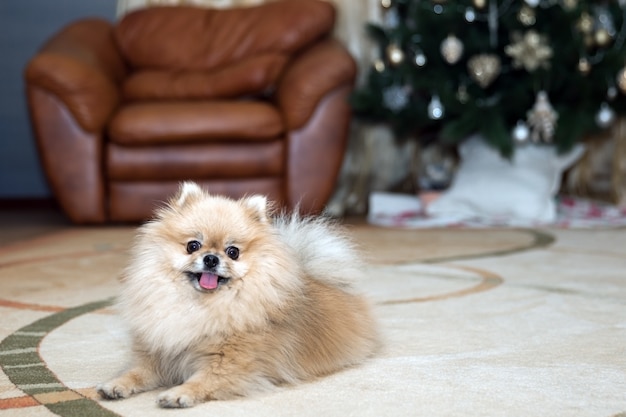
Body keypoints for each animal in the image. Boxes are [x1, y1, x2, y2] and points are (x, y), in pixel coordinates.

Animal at [97, 181, 378, 406]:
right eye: (192, 246)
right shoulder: (158, 353)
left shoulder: (228, 362)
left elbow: (205, 380)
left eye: (233, 252)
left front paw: (179, 393)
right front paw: (116, 384)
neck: (200, 306)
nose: (211, 258)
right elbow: (137, 371)